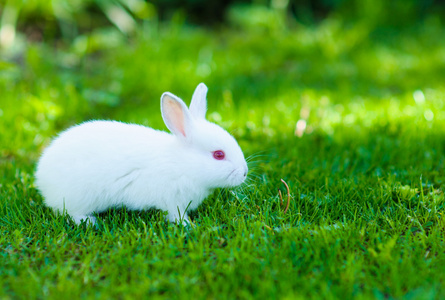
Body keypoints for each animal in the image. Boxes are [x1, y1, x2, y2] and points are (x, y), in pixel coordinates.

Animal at [35, 82, 246, 225]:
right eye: (218, 155)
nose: (244, 173)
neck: (182, 164)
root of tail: (41, 177)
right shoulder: (172, 200)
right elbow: (176, 215)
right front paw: (188, 225)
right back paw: (90, 222)